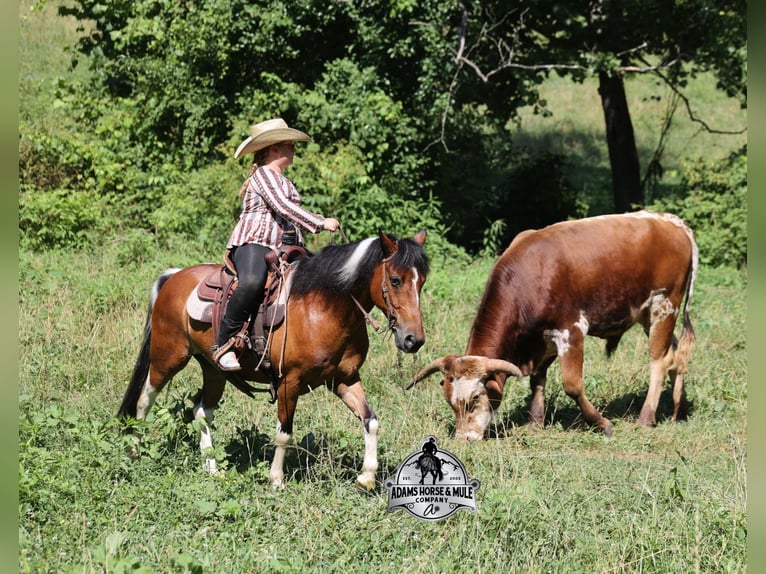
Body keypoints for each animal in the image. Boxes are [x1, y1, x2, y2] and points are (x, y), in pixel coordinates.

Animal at [118, 230, 429, 489]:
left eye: (422, 283)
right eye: (395, 280)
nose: (413, 340)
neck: (324, 309)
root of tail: (174, 277)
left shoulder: (344, 379)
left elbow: (370, 420)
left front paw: (366, 477)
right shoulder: (289, 382)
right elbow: (284, 433)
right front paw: (276, 480)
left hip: (213, 369)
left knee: (202, 411)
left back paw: (212, 467)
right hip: (167, 357)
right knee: (144, 400)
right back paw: (134, 451)